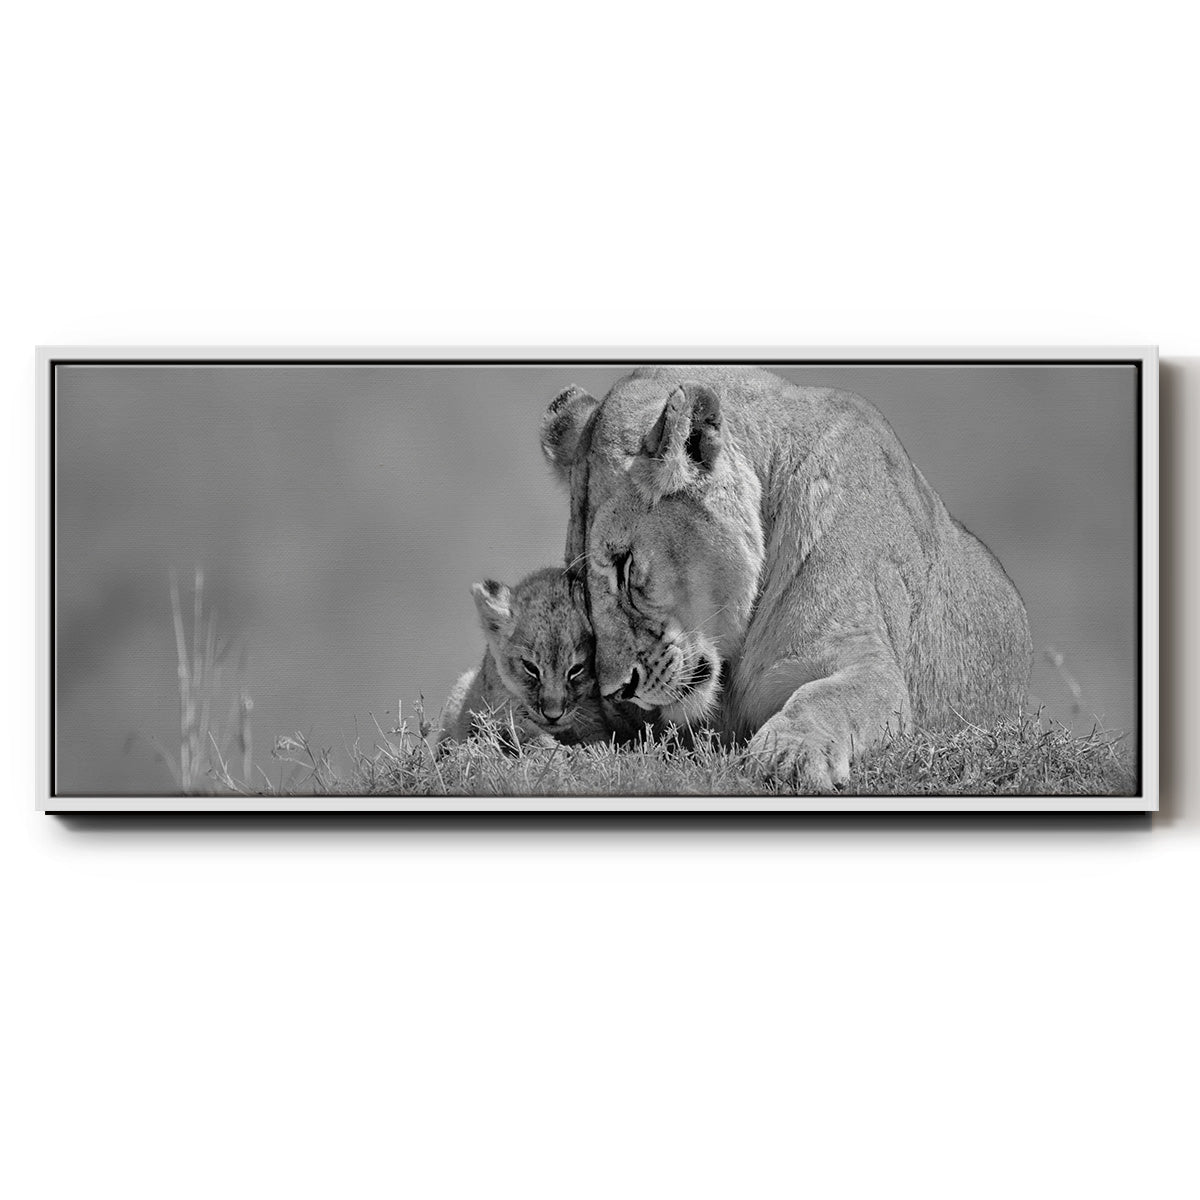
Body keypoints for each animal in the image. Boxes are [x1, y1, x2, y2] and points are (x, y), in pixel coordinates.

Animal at [437, 567, 609, 750]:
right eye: (531, 668)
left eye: (576, 669)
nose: (553, 716)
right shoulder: (502, 710)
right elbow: (530, 735)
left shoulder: (593, 715)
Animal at [540, 366, 1033, 788]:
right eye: (580, 584)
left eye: (623, 565)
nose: (616, 691)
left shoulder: (865, 659)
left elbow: (827, 697)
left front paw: (788, 753)